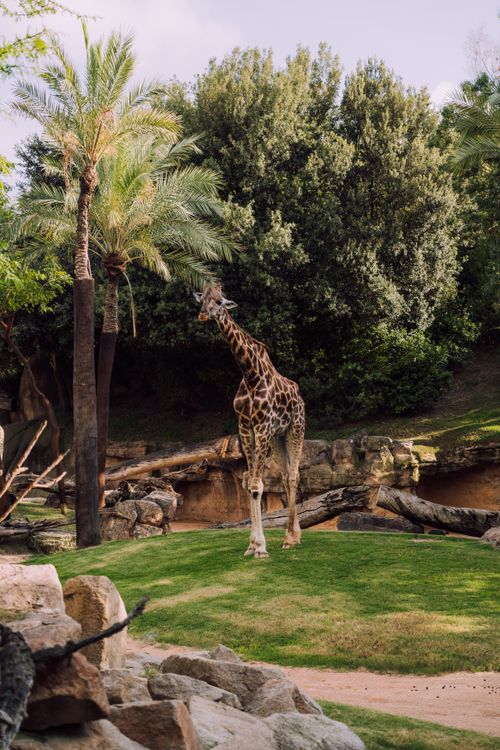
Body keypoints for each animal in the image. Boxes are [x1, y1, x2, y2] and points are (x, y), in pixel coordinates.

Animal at [194, 281, 305, 558]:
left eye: (220, 301)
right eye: (202, 299)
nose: (203, 315)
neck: (250, 374)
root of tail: (299, 395)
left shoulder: (262, 426)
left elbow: (256, 484)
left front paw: (261, 548)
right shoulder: (246, 426)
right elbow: (249, 483)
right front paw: (252, 545)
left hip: (296, 428)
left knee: (294, 475)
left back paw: (289, 538)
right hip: (277, 438)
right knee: (285, 476)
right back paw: (294, 536)